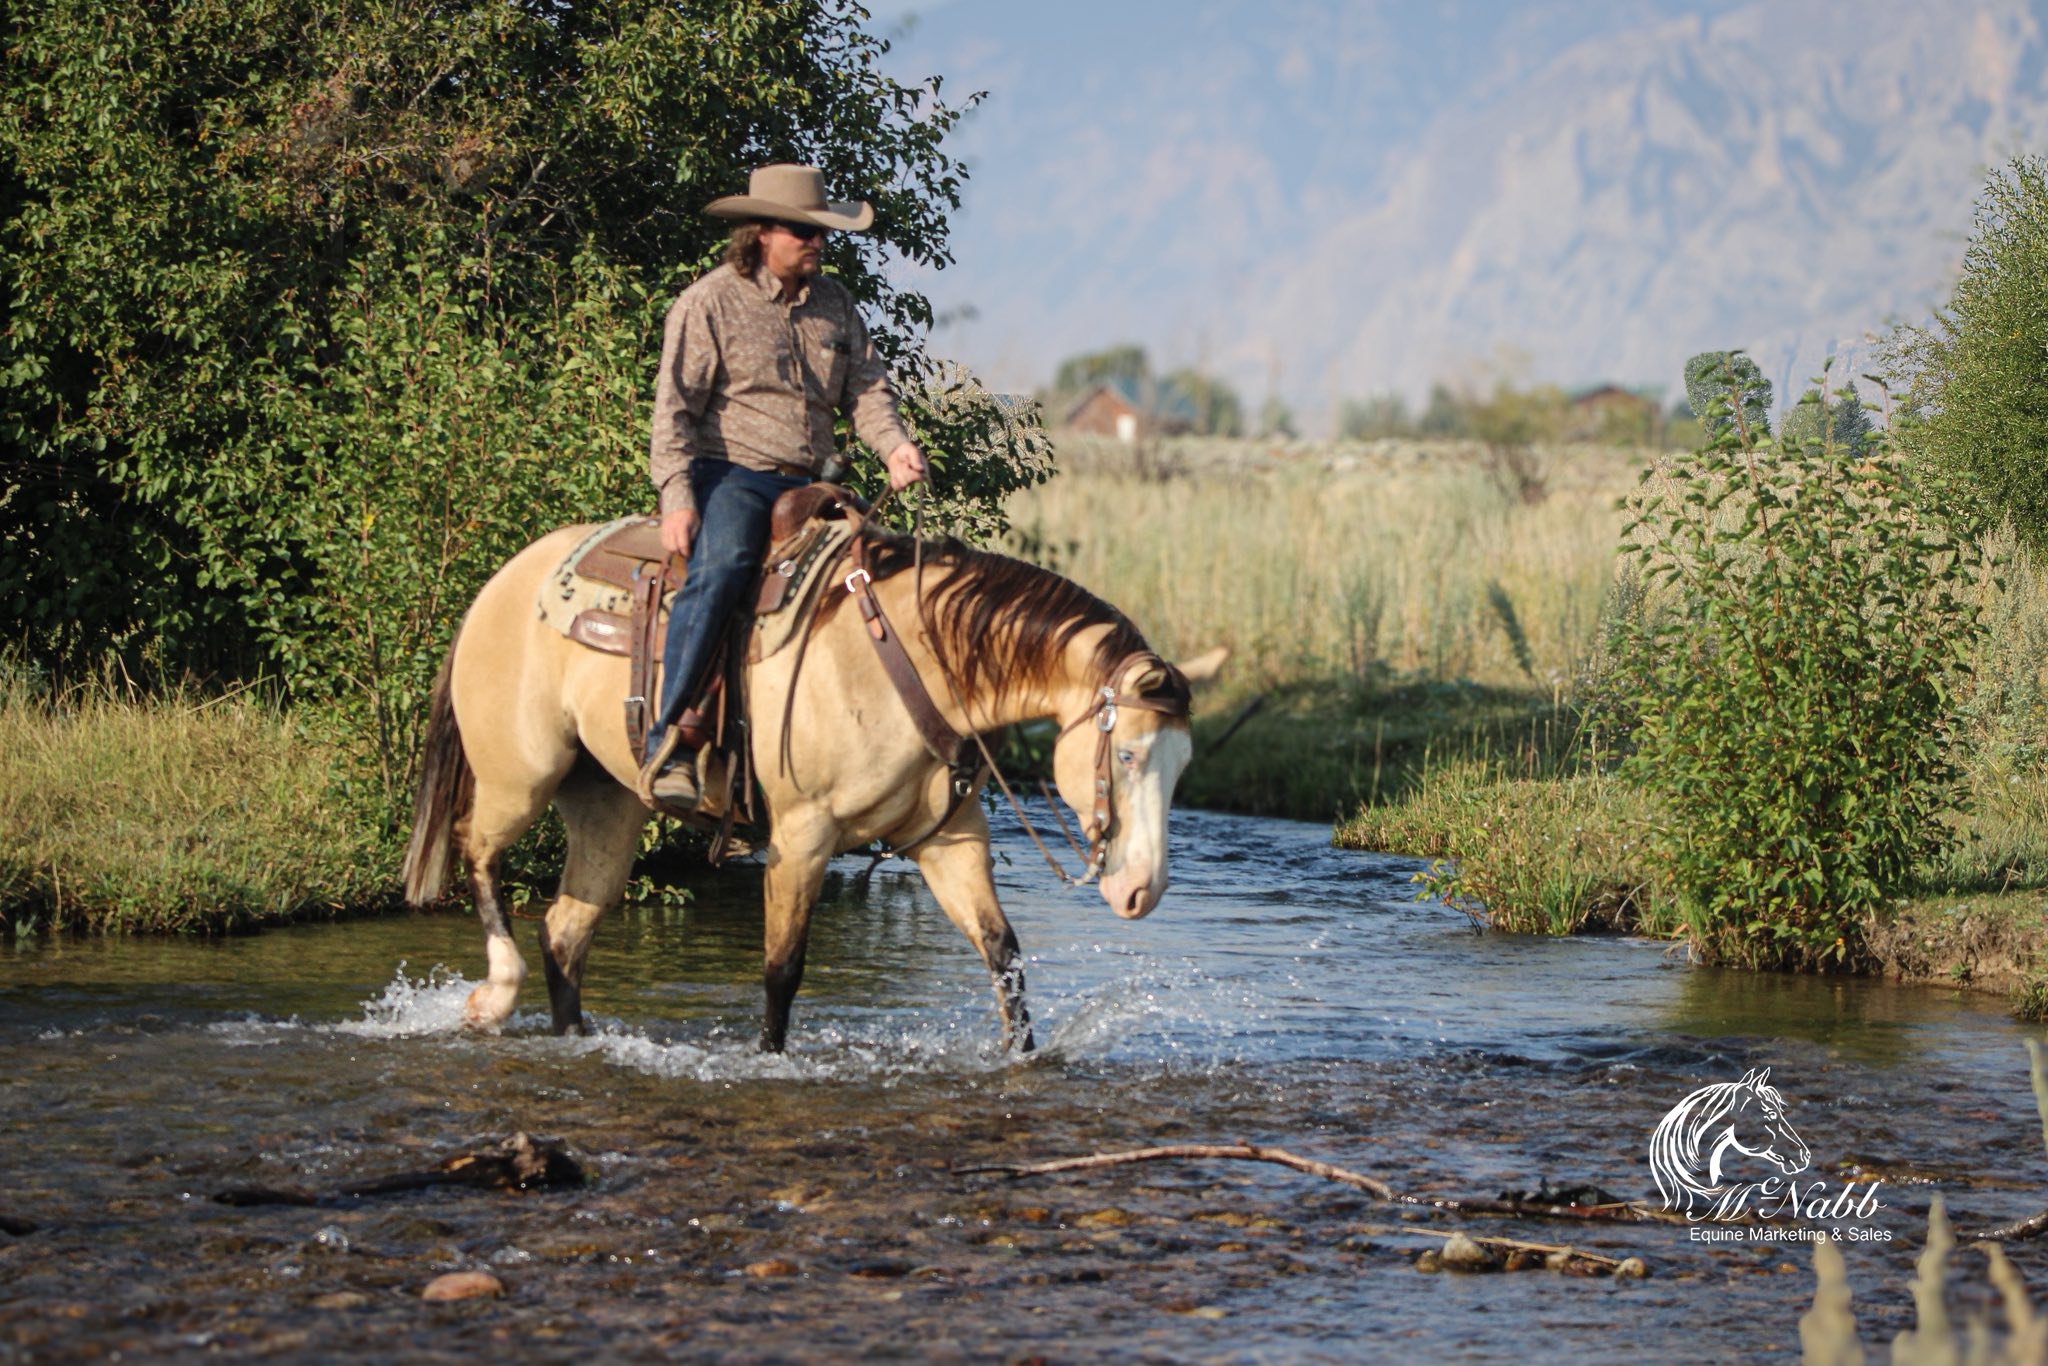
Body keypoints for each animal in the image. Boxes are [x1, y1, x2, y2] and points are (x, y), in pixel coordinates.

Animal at [399, 514, 1219, 1053]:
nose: (1143, 892)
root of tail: (496, 586)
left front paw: (1023, 1058)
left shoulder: (947, 841)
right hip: (520, 776)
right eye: (1128, 757)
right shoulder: (803, 835)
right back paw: (492, 996)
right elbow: (782, 969)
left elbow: (1003, 955)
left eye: (1184, 766)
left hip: (608, 807)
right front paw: (769, 1061)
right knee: (478, 852)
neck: (912, 662)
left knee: (566, 934)